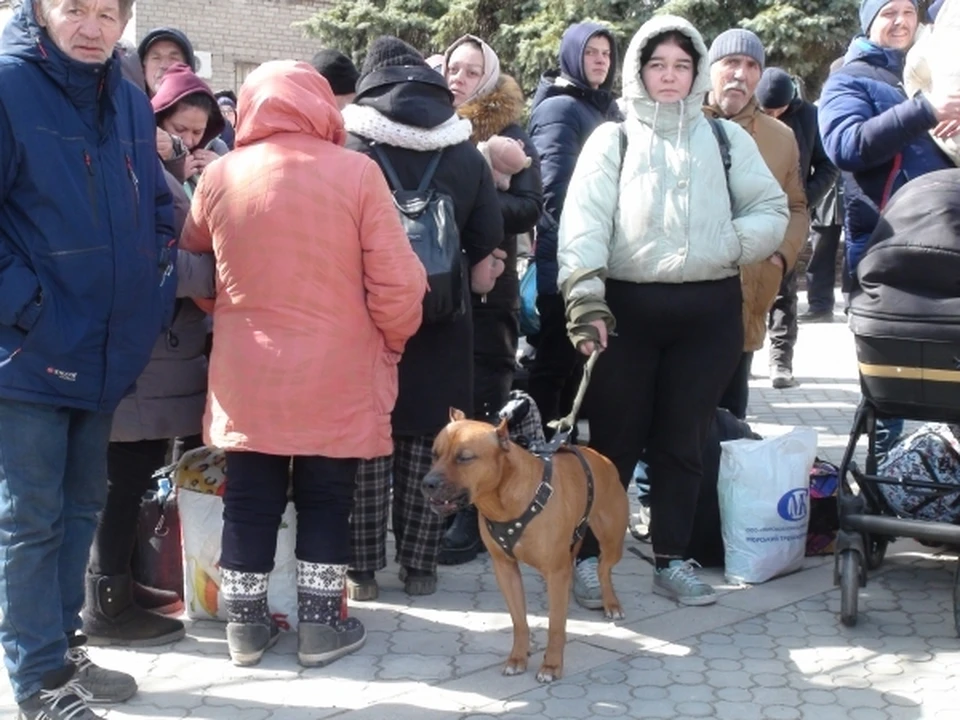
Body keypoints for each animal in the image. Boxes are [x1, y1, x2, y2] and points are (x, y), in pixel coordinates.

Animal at [424, 410, 628, 680]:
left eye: (464, 458)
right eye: (435, 454)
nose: (427, 483)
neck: (503, 500)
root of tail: (601, 458)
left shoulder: (555, 571)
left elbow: (555, 626)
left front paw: (551, 665)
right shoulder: (505, 569)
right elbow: (519, 621)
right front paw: (518, 658)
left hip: (612, 540)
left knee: (603, 568)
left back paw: (611, 603)